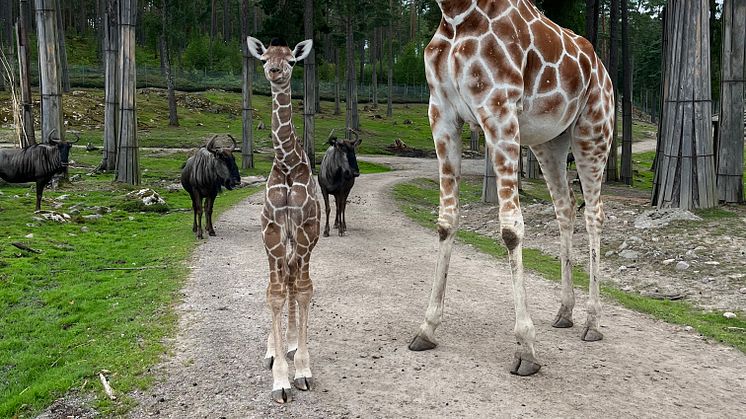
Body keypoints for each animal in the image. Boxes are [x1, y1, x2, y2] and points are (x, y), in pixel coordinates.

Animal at [410, 0, 612, 378]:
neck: (455, 13)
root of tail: (603, 70)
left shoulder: (499, 106)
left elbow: (510, 228)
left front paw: (526, 349)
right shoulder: (440, 111)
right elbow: (446, 220)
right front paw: (426, 328)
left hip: (593, 131)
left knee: (594, 214)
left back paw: (593, 323)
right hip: (549, 142)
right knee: (565, 206)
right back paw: (565, 313)